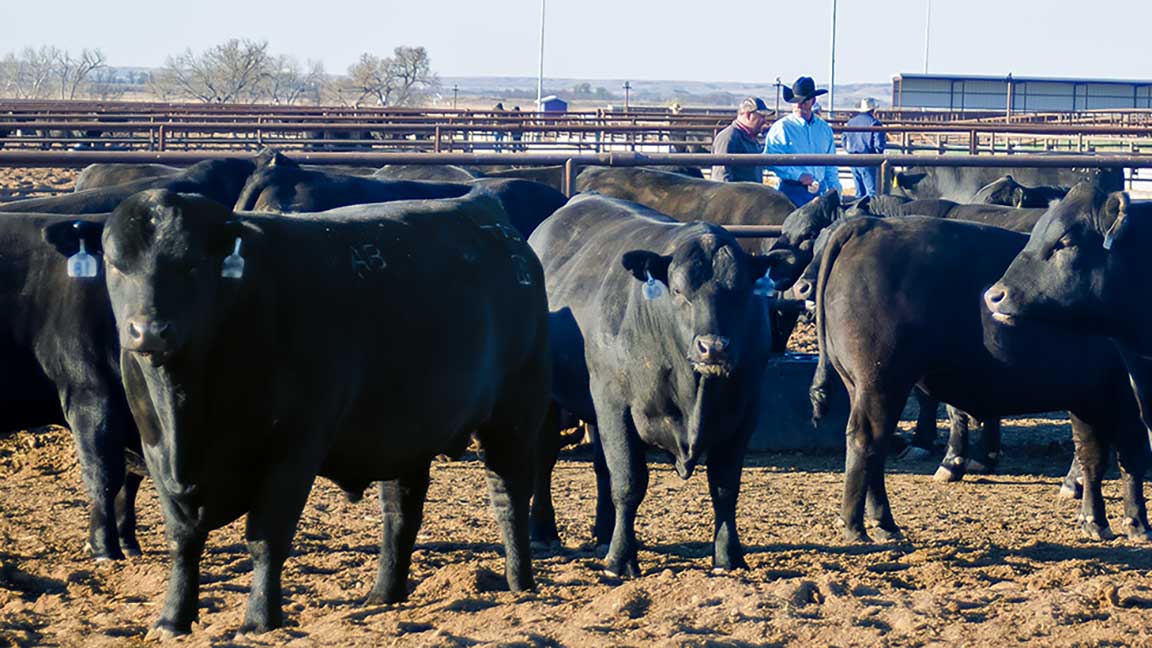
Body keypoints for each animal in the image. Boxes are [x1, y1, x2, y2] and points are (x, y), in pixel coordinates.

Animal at [61, 188, 549, 636]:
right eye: (116, 263)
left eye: (193, 264)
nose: (149, 330)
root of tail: (485, 210)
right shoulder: (156, 451)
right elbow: (183, 540)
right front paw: (172, 619)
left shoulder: (294, 449)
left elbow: (266, 539)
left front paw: (259, 621)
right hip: (405, 430)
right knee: (401, 510)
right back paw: (383, 594)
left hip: (515, 410)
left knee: (508, 495)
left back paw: (520, 584)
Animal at [528, 193, 795, 577]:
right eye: (679, 290)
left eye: (741, 291)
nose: (713, 347)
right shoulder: (615, 405)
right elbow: (629, 483)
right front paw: (620, 560)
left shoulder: (744, 414)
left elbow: (725, 487)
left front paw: (728, 557)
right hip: (553, 397)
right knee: (545, 457)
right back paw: (543, 531)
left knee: (601, 467)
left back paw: (603, 533)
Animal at [807, 215, 1150, 543]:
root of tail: (869, 225)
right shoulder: (1123, 396)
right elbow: (1130, 457)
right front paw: (1137, 524)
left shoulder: (1087, 396)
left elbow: (1092, 457)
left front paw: (1094, 521)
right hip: (881, 381)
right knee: (865, 441)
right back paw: (855, 525)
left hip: (863, 385)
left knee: (875, 448)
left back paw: (883, 523)